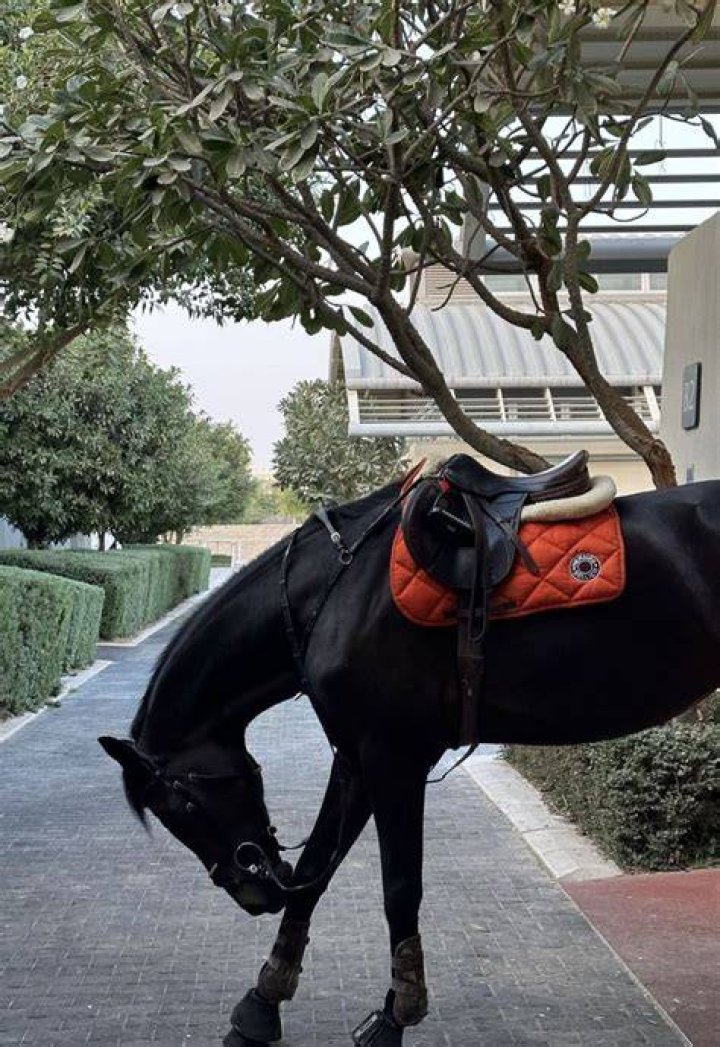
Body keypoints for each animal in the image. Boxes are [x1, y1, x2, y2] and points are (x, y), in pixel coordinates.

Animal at [100, 475, 720, 1046]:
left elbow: (400, 888)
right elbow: (315, 870)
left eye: (180, 806)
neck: (331, 595)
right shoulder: (354, 759)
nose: (253, 894)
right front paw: (261, 1004)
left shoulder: (392, 757)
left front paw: (395, 1018)